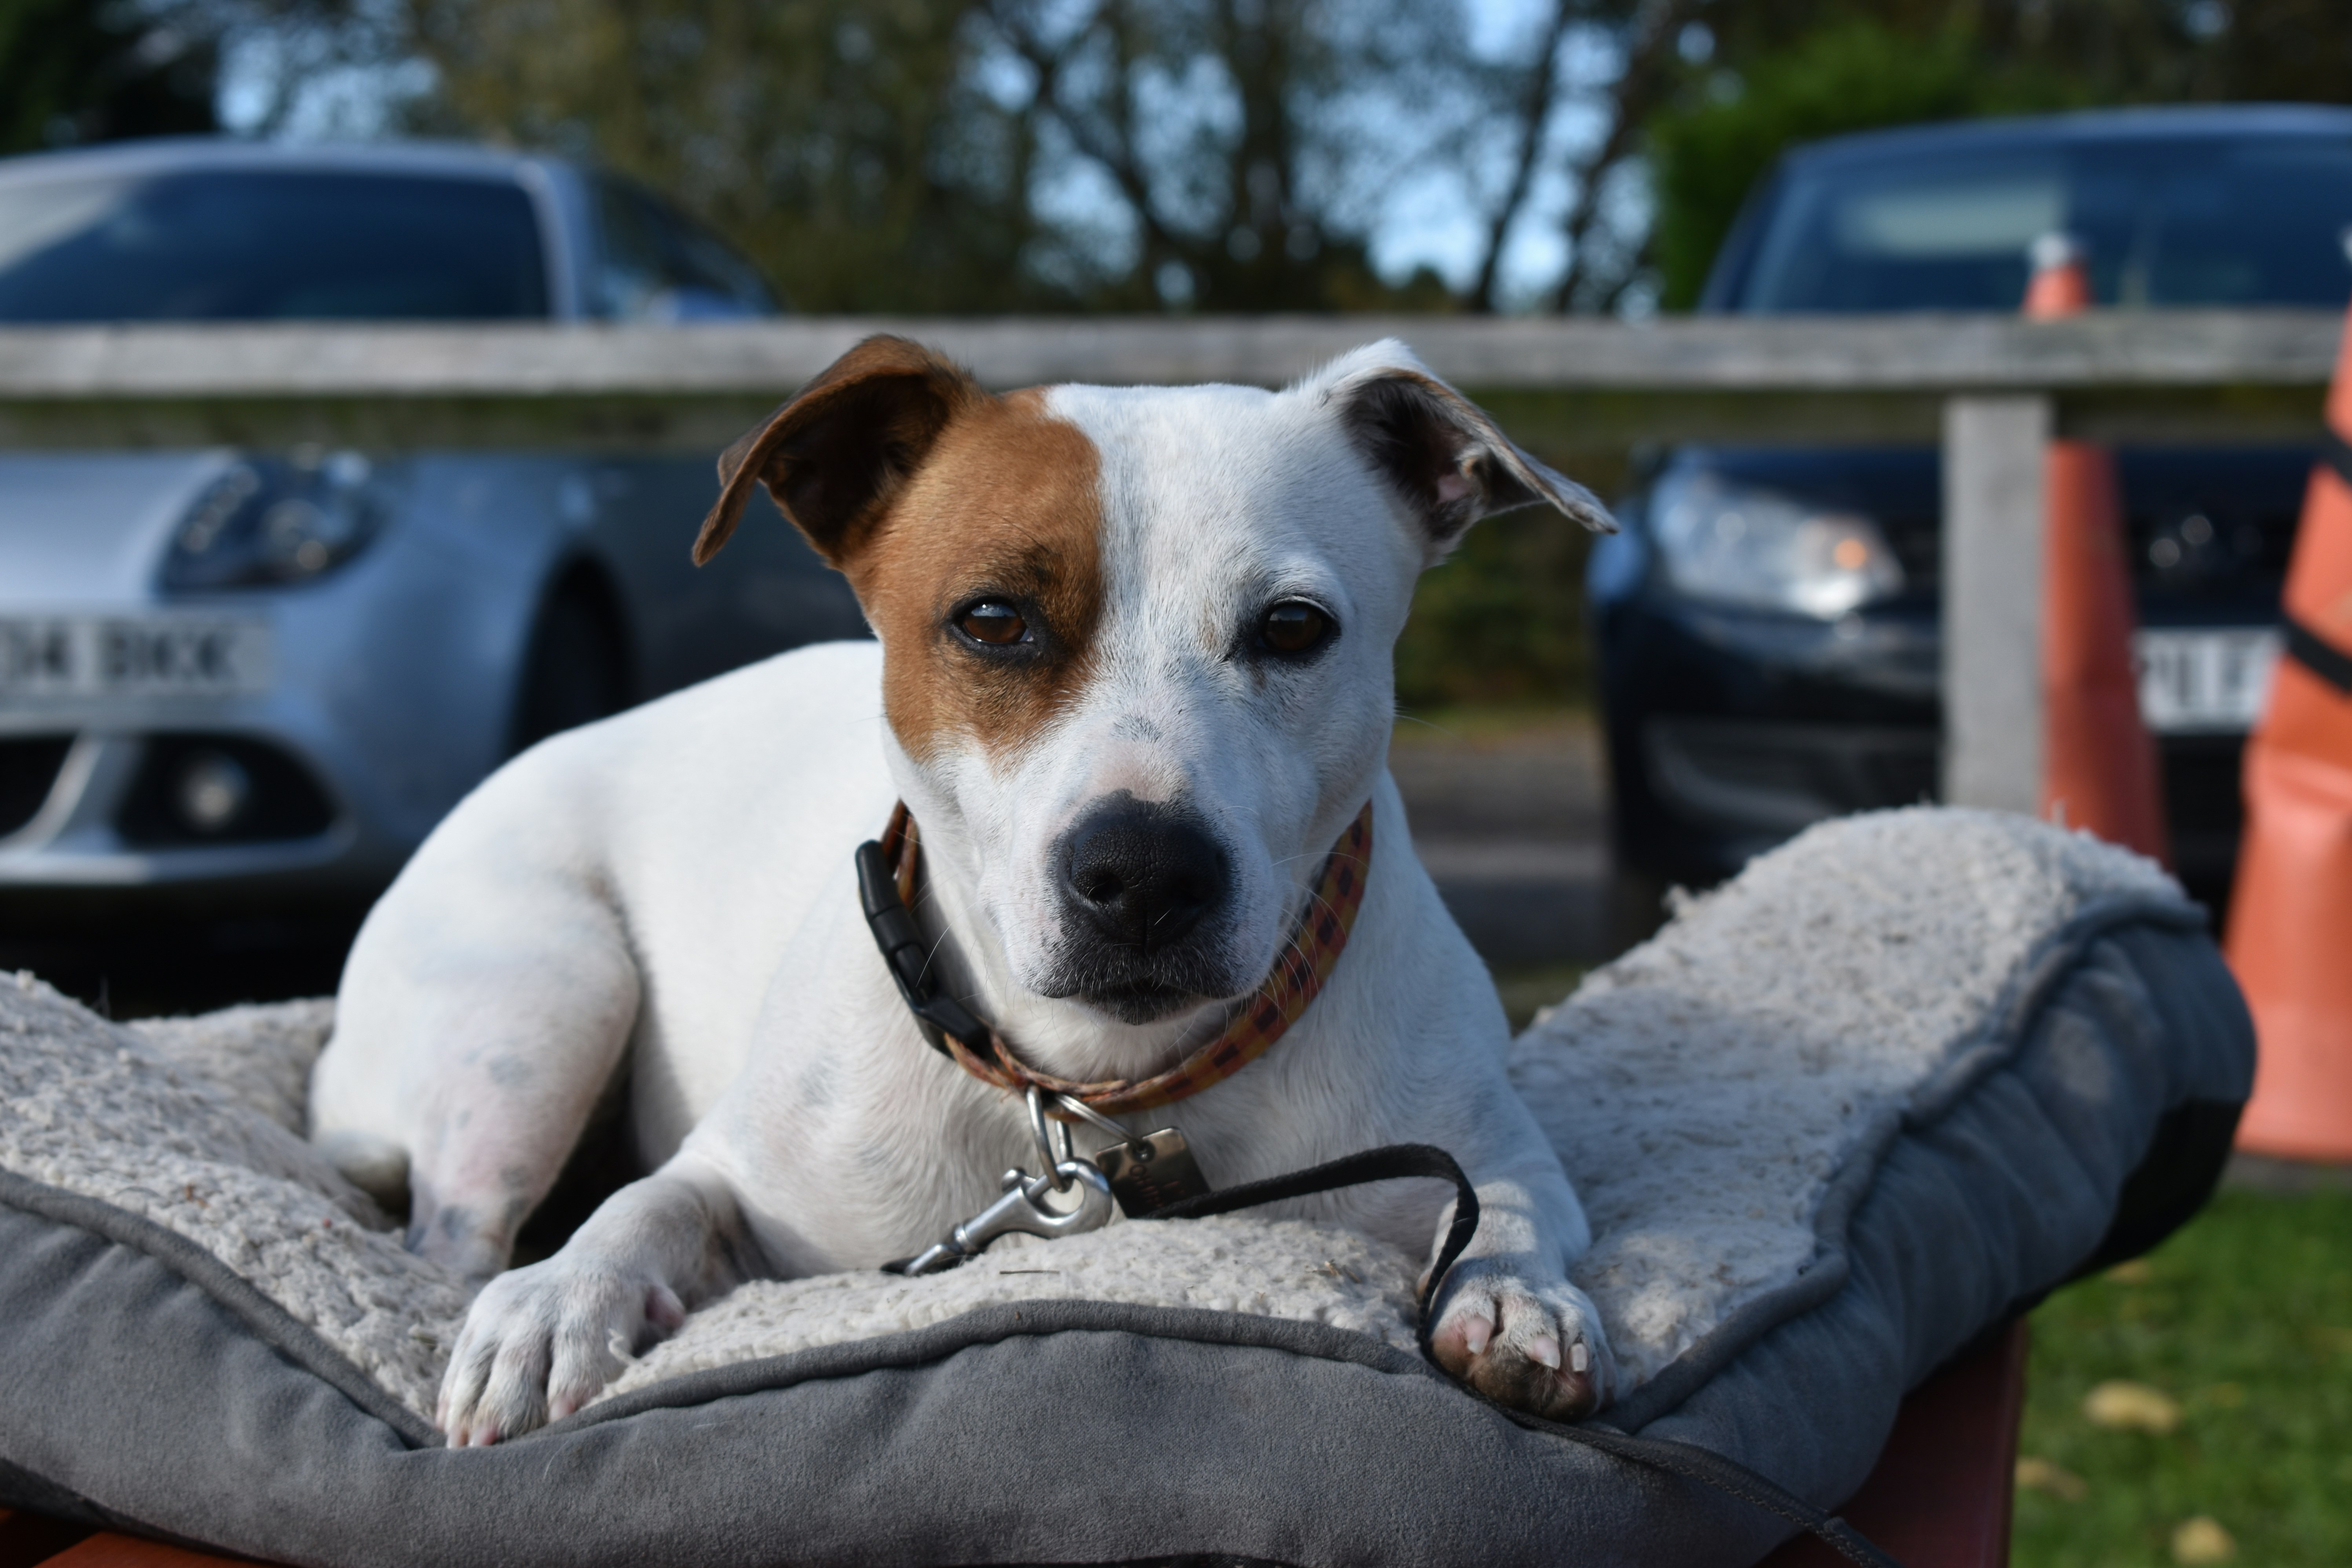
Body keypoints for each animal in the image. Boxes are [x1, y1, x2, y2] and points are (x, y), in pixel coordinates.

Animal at [308, 334, 1618, 1448]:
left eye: (1293, 628)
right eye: (992, 620)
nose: (1145, 873)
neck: (1099, 1088)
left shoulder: (1483, 1138)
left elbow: (1513, 1206)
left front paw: (1518, 1301)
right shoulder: (738, 1175)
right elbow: (647, 1205)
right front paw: (558, 1304)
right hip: (546, 1005)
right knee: (451, 1237)